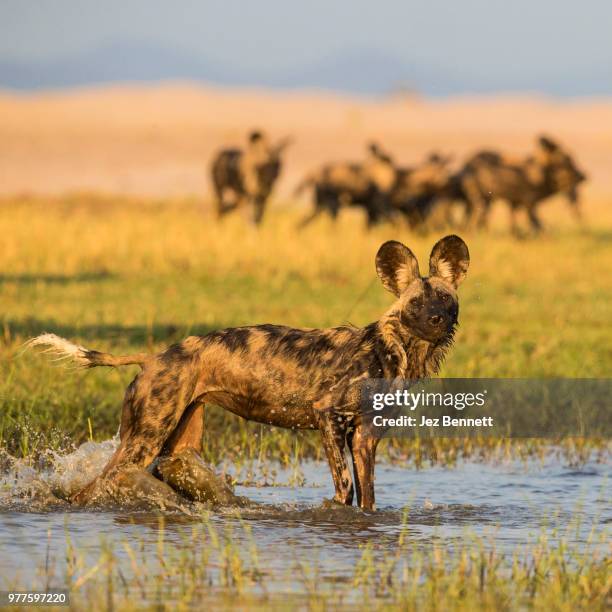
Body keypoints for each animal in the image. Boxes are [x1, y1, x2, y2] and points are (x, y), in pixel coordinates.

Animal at [27, 235, 468, 512]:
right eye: (416, 303)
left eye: (446, 300)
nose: (436, 320)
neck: (395, 350)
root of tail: (154, 357)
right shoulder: (329, 417)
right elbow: (344, 490)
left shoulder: (365, 438)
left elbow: (368, 497)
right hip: (146, 437)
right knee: (104, 482)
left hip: (176, 441)